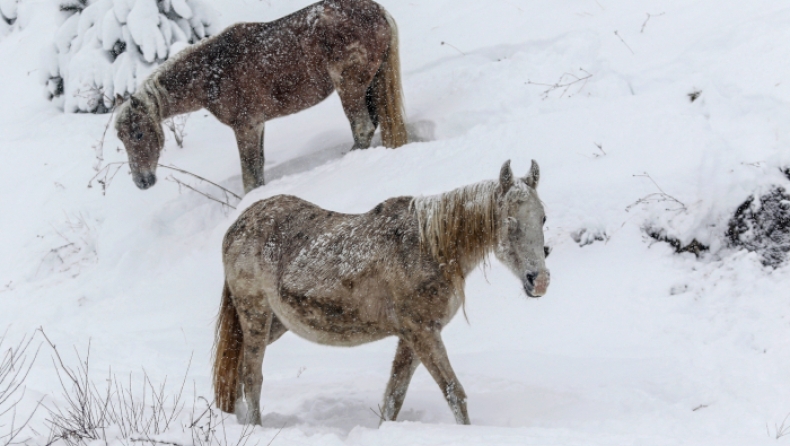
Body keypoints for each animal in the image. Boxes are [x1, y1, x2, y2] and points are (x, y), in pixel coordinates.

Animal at [116, 0, 408, 193]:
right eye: (121, 139)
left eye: (138, 134)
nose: (142, 181)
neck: (212, 71)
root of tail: (377, 11)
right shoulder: (257, 126)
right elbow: (257, 172)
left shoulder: (245, 127)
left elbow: (250, 177)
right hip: (370, 85)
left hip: (350, 87)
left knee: (362, 127)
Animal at [213, 160, 552, 426]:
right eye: (509, 221)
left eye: (542, 218)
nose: (540, 281)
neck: (429, 249)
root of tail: (237, 225)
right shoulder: (423, 332)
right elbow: (454, 393)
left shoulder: (412, 336)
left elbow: (394, 397)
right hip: (255, 314)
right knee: (251, 376)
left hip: (276, 323)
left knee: (238, 368)